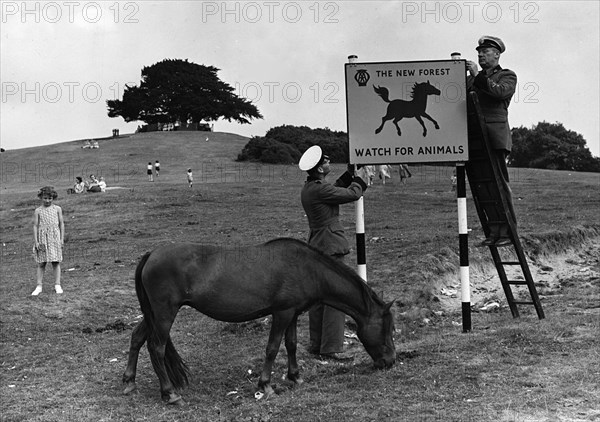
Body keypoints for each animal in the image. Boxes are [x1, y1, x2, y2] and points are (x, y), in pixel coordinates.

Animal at [122, 239, 396, 404]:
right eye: (387, 329)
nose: (390, 362)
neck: (307, 268)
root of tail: (151, 254)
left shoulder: (293, 314)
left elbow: (291, 345)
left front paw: (295, 377)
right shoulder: (282, 313)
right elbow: (272, 348)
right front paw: (266, 385)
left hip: (154, 314)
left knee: (137, 337)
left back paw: (129, 382)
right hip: (164, 313)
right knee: (156, 348)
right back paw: (169, 393)